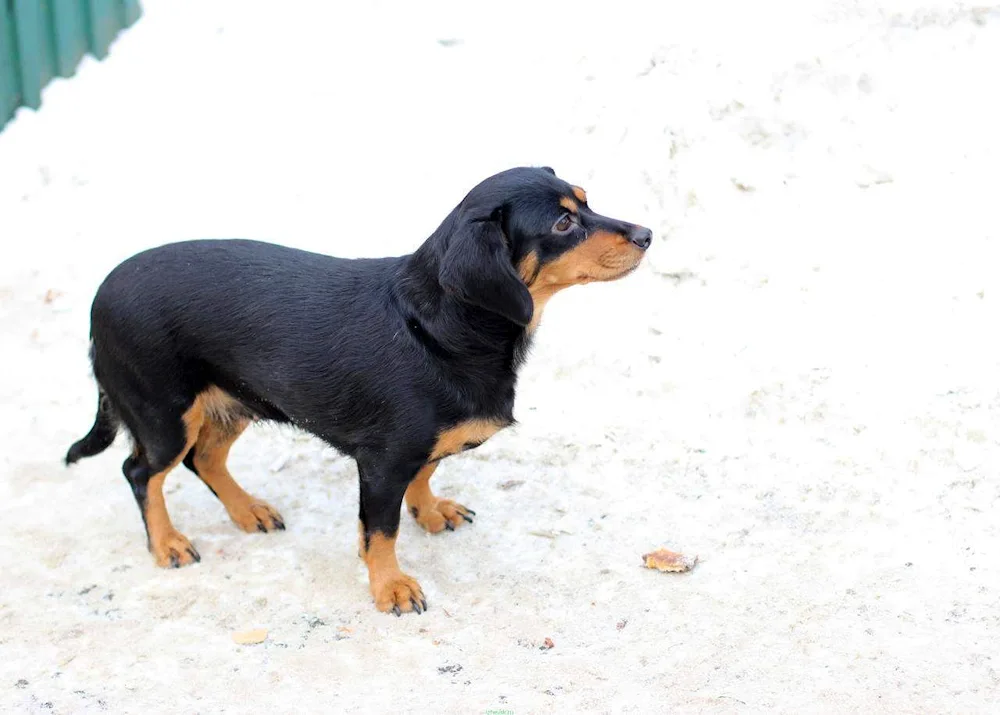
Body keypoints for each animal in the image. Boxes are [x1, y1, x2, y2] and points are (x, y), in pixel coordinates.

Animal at [66, 166, 652, 616]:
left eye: (586, 201)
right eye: (563, 222)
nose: (647, 234)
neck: (438, 326)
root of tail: (98, 297)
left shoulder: (412, 451)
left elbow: (426, 473)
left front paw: (430, 511)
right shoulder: (383, 461)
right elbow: (381, 530)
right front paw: (391, 586)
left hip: (234, 401)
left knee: (203, 460)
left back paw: (248, 511)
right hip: (164, 413)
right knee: (142, 472)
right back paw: (167, 543)